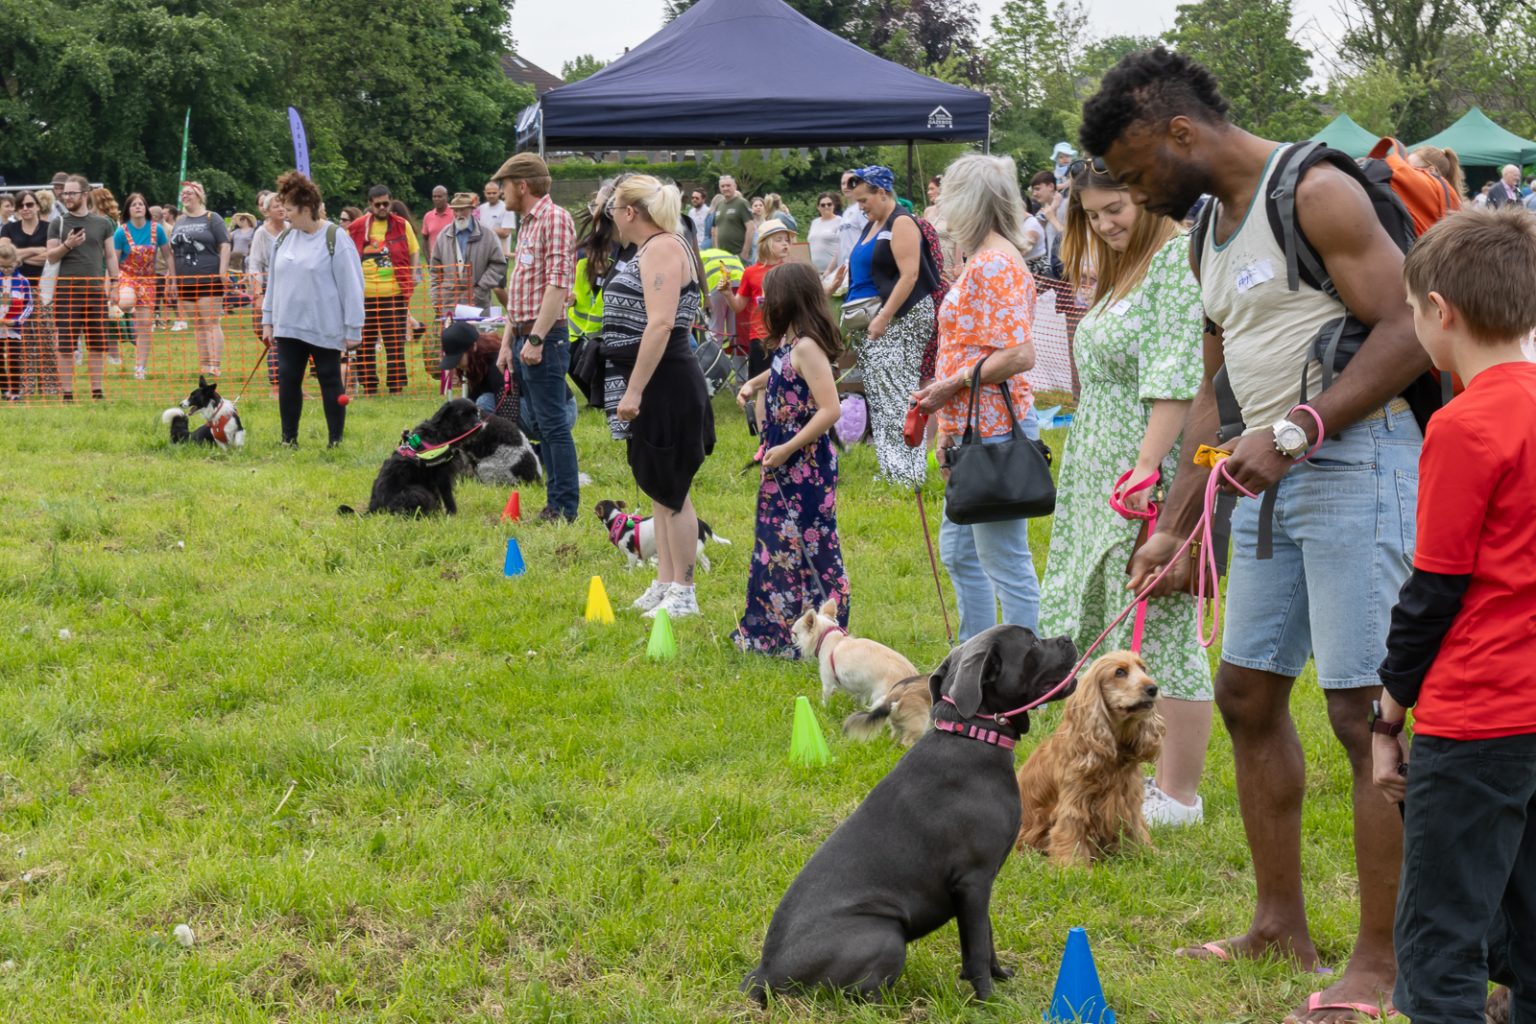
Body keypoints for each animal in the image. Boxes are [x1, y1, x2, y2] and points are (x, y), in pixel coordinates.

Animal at [340, 396, 485, 515]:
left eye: (476, 413)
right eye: (463, 414)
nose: (479, 425)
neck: (441, 432)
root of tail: (374, 508)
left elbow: (438, 498)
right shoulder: (441, 476)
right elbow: (447, 497)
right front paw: (451, 514)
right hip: (416, 490)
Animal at [589, 500, 728, 574]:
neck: (617, 521)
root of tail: (700, 522)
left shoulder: (632, 554)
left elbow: (632, 568)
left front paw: (629, 575)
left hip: (693, 548)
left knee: (705, 561)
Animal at [743, 629, 1081, 1007]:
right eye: (1032, 643)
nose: (1067, 638)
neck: (974, 734)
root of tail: (764, 974)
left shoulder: (982, 885)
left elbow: (986, 937)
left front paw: (999, 976)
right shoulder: (974, 881)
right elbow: (978, 946)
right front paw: (987, 1000)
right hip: (885, 933)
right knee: (860, 995)